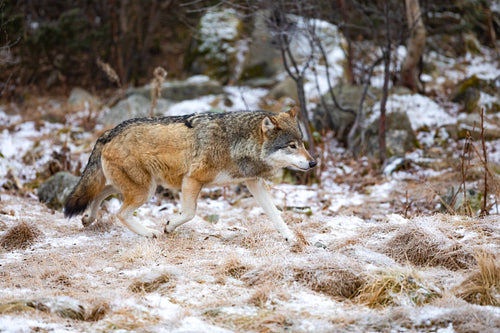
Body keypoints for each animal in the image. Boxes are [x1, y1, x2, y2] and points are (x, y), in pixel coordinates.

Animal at [63, 109, 316, 241]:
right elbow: (189, 213)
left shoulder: (254, 183)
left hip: (134, 186)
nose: (313, 162)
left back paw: (88, 218)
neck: (235, 144)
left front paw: (291, 237)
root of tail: (108, 132)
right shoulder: (192, 180)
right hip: (146, 190)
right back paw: (149, 233)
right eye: (292, 146)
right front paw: (168, 226)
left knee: (98, 194)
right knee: (120, 213)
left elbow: (276, 215)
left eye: (302, 143)